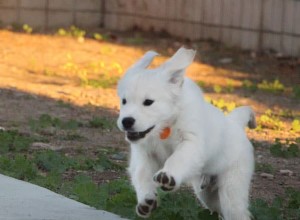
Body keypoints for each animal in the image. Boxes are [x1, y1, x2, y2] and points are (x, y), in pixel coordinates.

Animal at [117, 47, 255, 219]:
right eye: (124, 101)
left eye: (148, 102)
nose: (126, 121)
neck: (165, 126)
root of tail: (235, 123)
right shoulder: (144, 153)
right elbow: (141, 174)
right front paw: (146, 199)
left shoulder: (191, 143)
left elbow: (178, 158)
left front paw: (168, 176)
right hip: (208, 195)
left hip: (232, 190)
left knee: (236, 211)